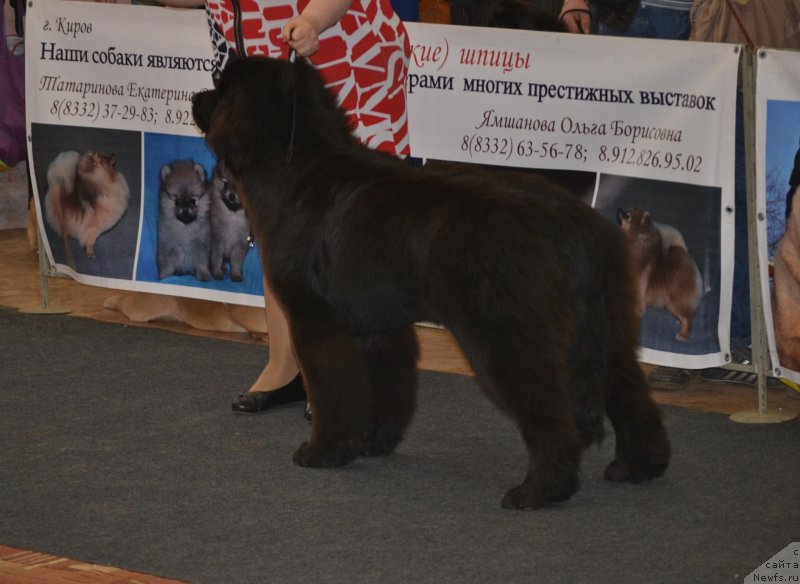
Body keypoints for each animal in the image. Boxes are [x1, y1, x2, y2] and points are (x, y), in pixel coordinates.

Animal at [194, 57, 668, 508]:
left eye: (219, 84)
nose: (197, 95)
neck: (294, 164)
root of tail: (569, 222)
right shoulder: (378, 325)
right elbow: (387, 387)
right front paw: (373, 441)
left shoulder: (317, 319)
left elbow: (333, 391)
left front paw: (322, 452)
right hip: (603, 322)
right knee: (629, 391)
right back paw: (638, 466)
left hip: (507, 332)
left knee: (551, 412)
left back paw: (538, 491)